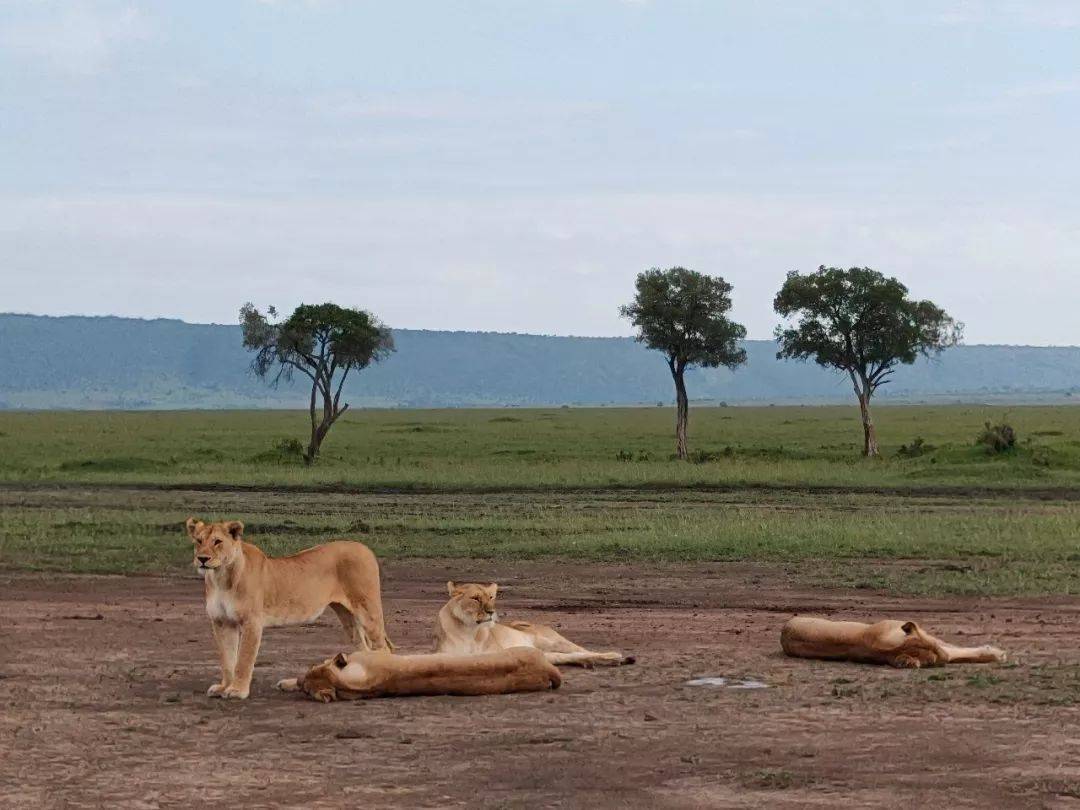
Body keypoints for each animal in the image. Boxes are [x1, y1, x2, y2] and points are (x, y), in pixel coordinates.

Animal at [185, 522, 393, 699]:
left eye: (217, 542)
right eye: (198, 540)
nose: (202, 559)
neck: (220, 577)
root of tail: (364, 547)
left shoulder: (252, 622)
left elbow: (243, 660)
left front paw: (237, 691)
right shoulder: (222, 622)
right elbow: (227, 659)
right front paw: (224, 687)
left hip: (367, 610)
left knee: (383, 649)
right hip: (346, 614)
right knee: (363, 649)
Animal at [429, 583, 630, 673]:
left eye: (491, 597)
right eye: (475, 598)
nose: (492, 612)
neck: (471, 630)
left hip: (554, 641)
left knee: (582, 650)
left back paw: (615, 658)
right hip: (546, 653)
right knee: (570, 656)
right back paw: (591, 662)